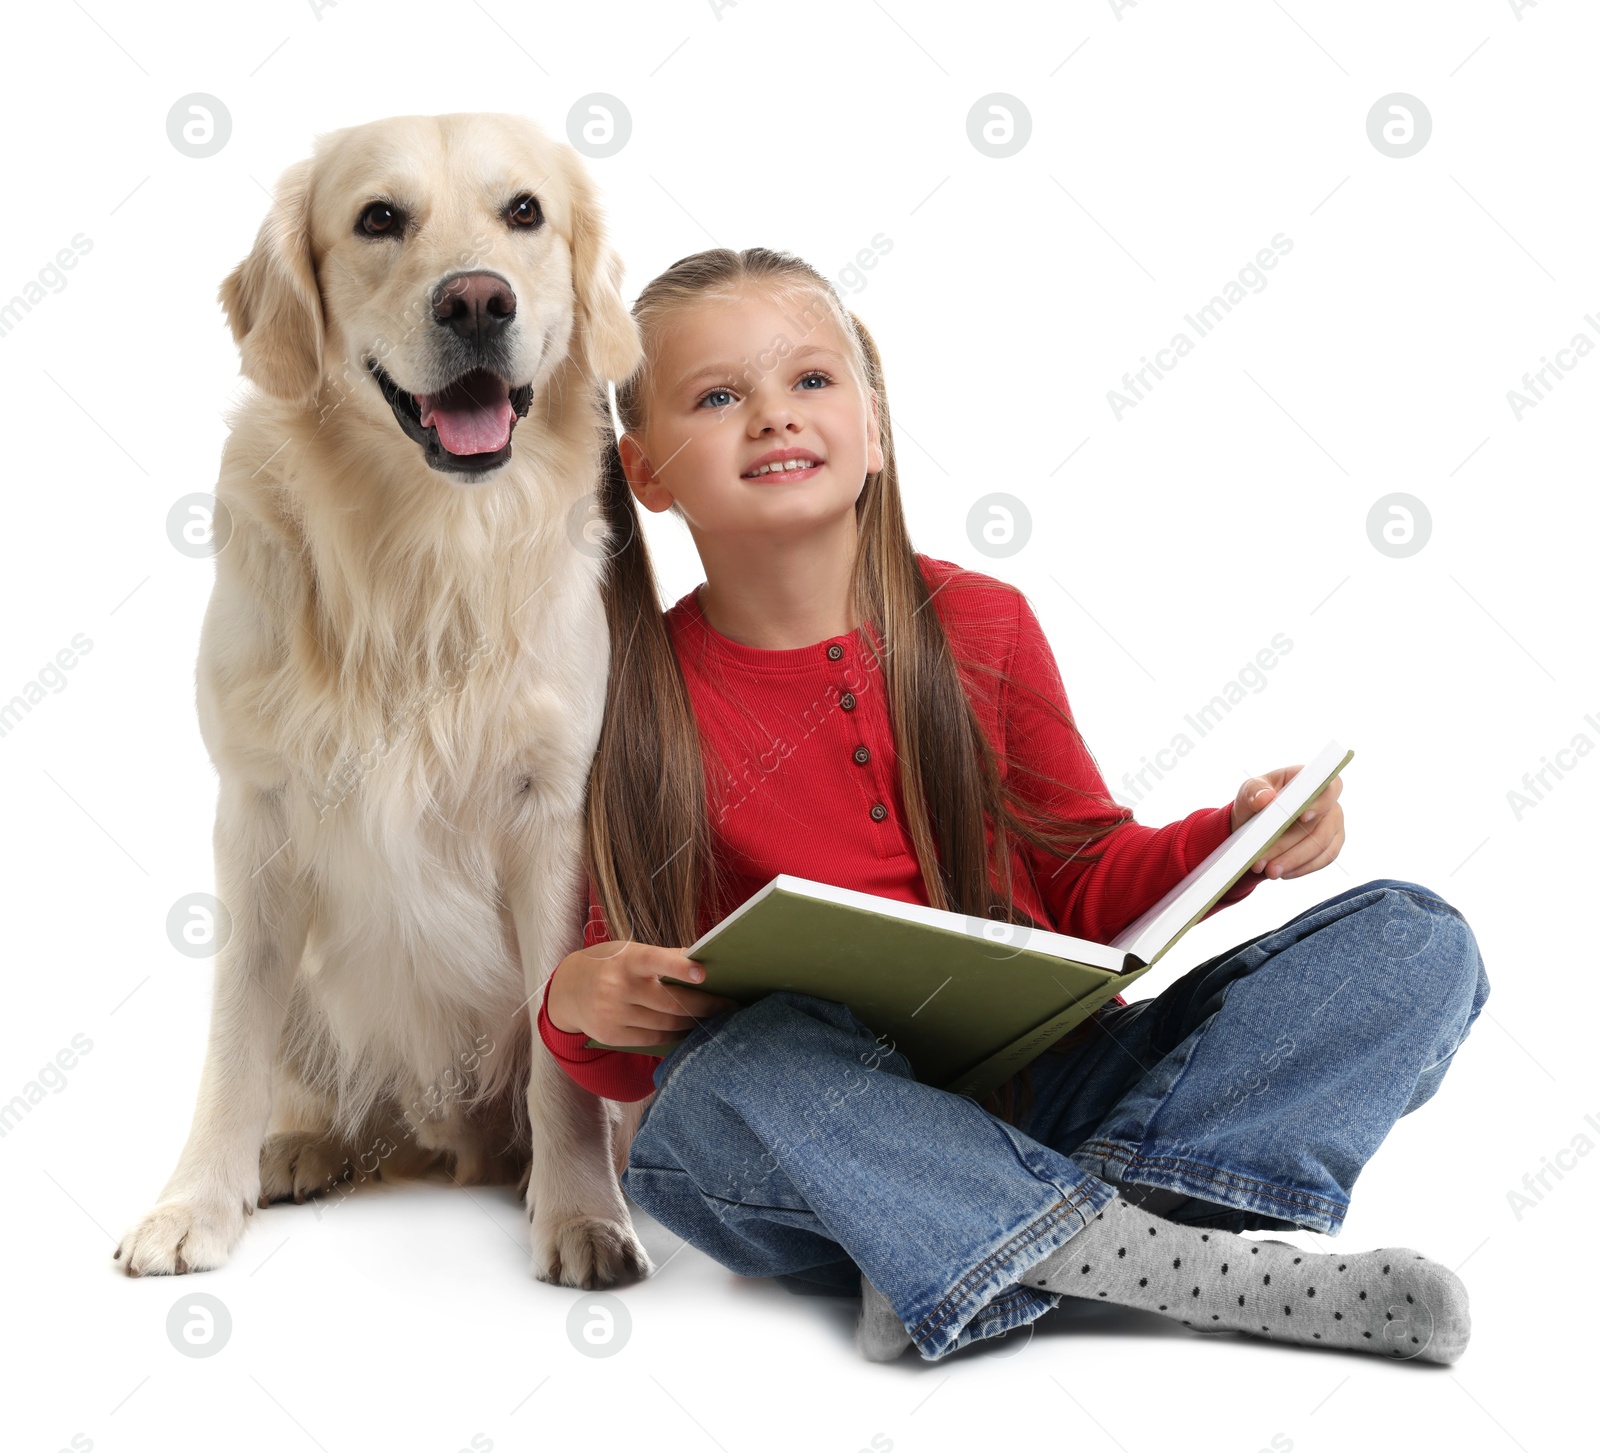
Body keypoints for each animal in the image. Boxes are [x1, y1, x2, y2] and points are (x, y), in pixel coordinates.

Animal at [112, 113, 652, 1286]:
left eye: (525, 211)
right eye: (378, 219)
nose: (477, 301)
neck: (424, 552)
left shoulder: (551, 813)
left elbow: (564, 1061)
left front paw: (583, 1212)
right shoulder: (256, 809)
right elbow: (236, 1031)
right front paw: (195, 1199)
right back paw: (297, 1147)